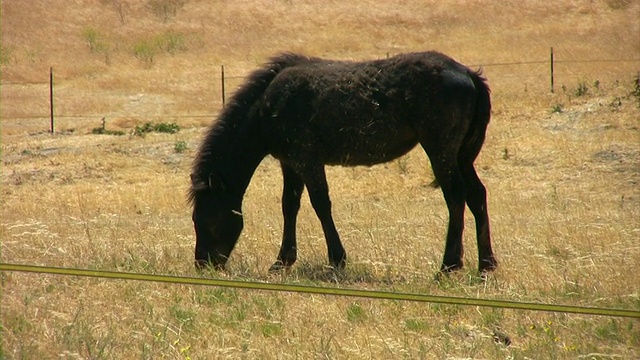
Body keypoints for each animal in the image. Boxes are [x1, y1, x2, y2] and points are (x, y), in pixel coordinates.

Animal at [188, 50, 498, 274]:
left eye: (208, 217)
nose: (203, 264)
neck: (268, 106)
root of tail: (468, 74)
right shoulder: (291, 164)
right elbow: (289, 206)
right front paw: (282, 261)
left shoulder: (308, 160)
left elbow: (321, 205)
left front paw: (337, 259)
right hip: (461, 157)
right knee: (477, 195)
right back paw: (486, 264)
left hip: (441, 152)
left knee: (455, 197)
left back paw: (449, 265)